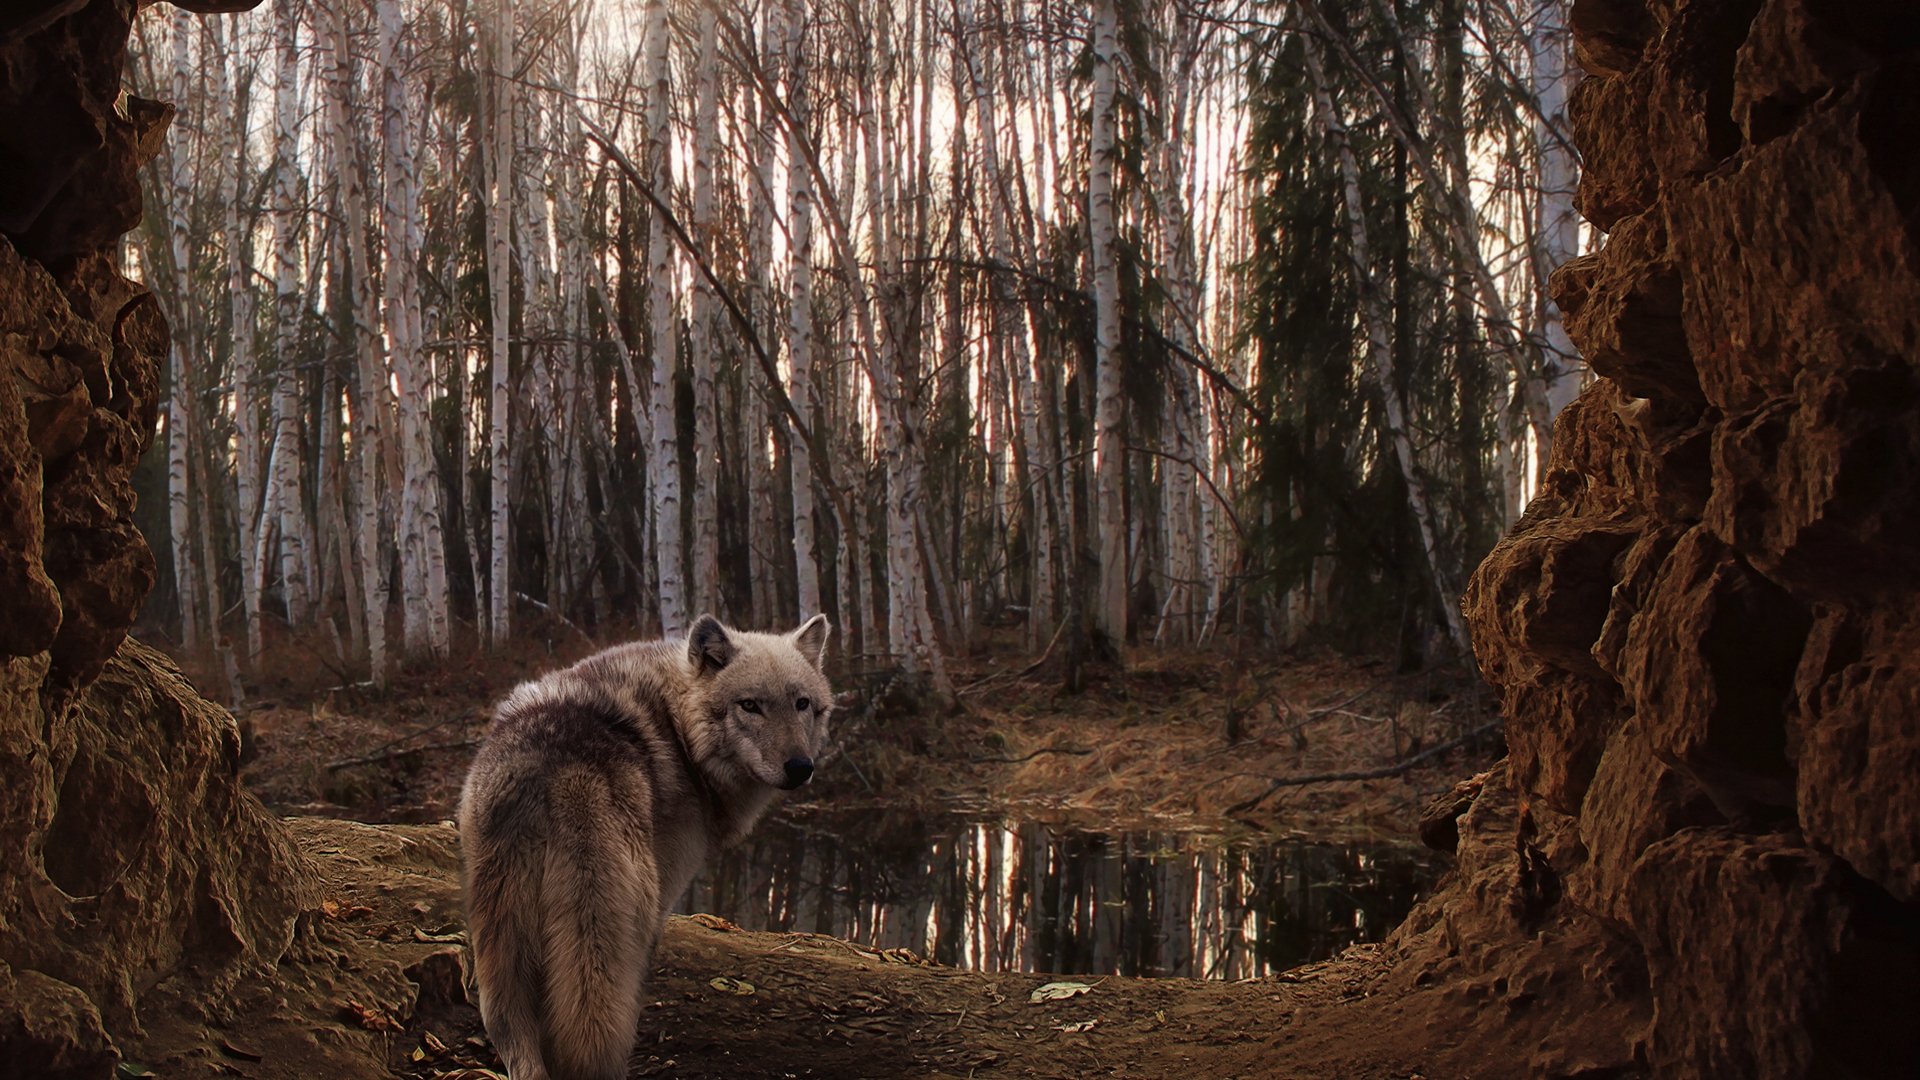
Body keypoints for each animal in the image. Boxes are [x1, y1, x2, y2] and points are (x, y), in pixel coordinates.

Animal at [459, 613, 833, 1080]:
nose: (800, 767)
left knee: (512, 1033)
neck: (679, 731)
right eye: (749, 705)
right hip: (621, 919)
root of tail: (555, 771)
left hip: (501, 940)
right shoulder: (663, 899)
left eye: (802, 703)